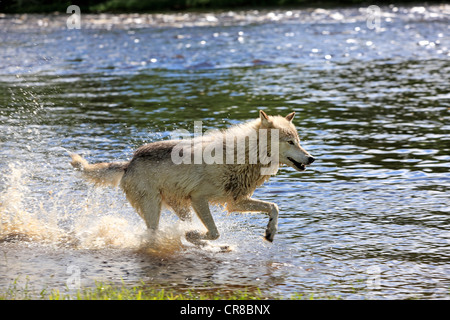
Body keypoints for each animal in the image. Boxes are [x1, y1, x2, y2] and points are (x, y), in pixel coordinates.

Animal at [71, 110, 316, 245]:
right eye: (290, 142)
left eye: (298, 140)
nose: (312, 158)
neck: (244, 156)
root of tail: (128, 163)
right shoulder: (200, 199)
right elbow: (214, 232)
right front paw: (193, 236)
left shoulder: (234, 202)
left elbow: (274, 207)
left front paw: (270, 232)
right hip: (156, 210)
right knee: (152, 235)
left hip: (181, 208)